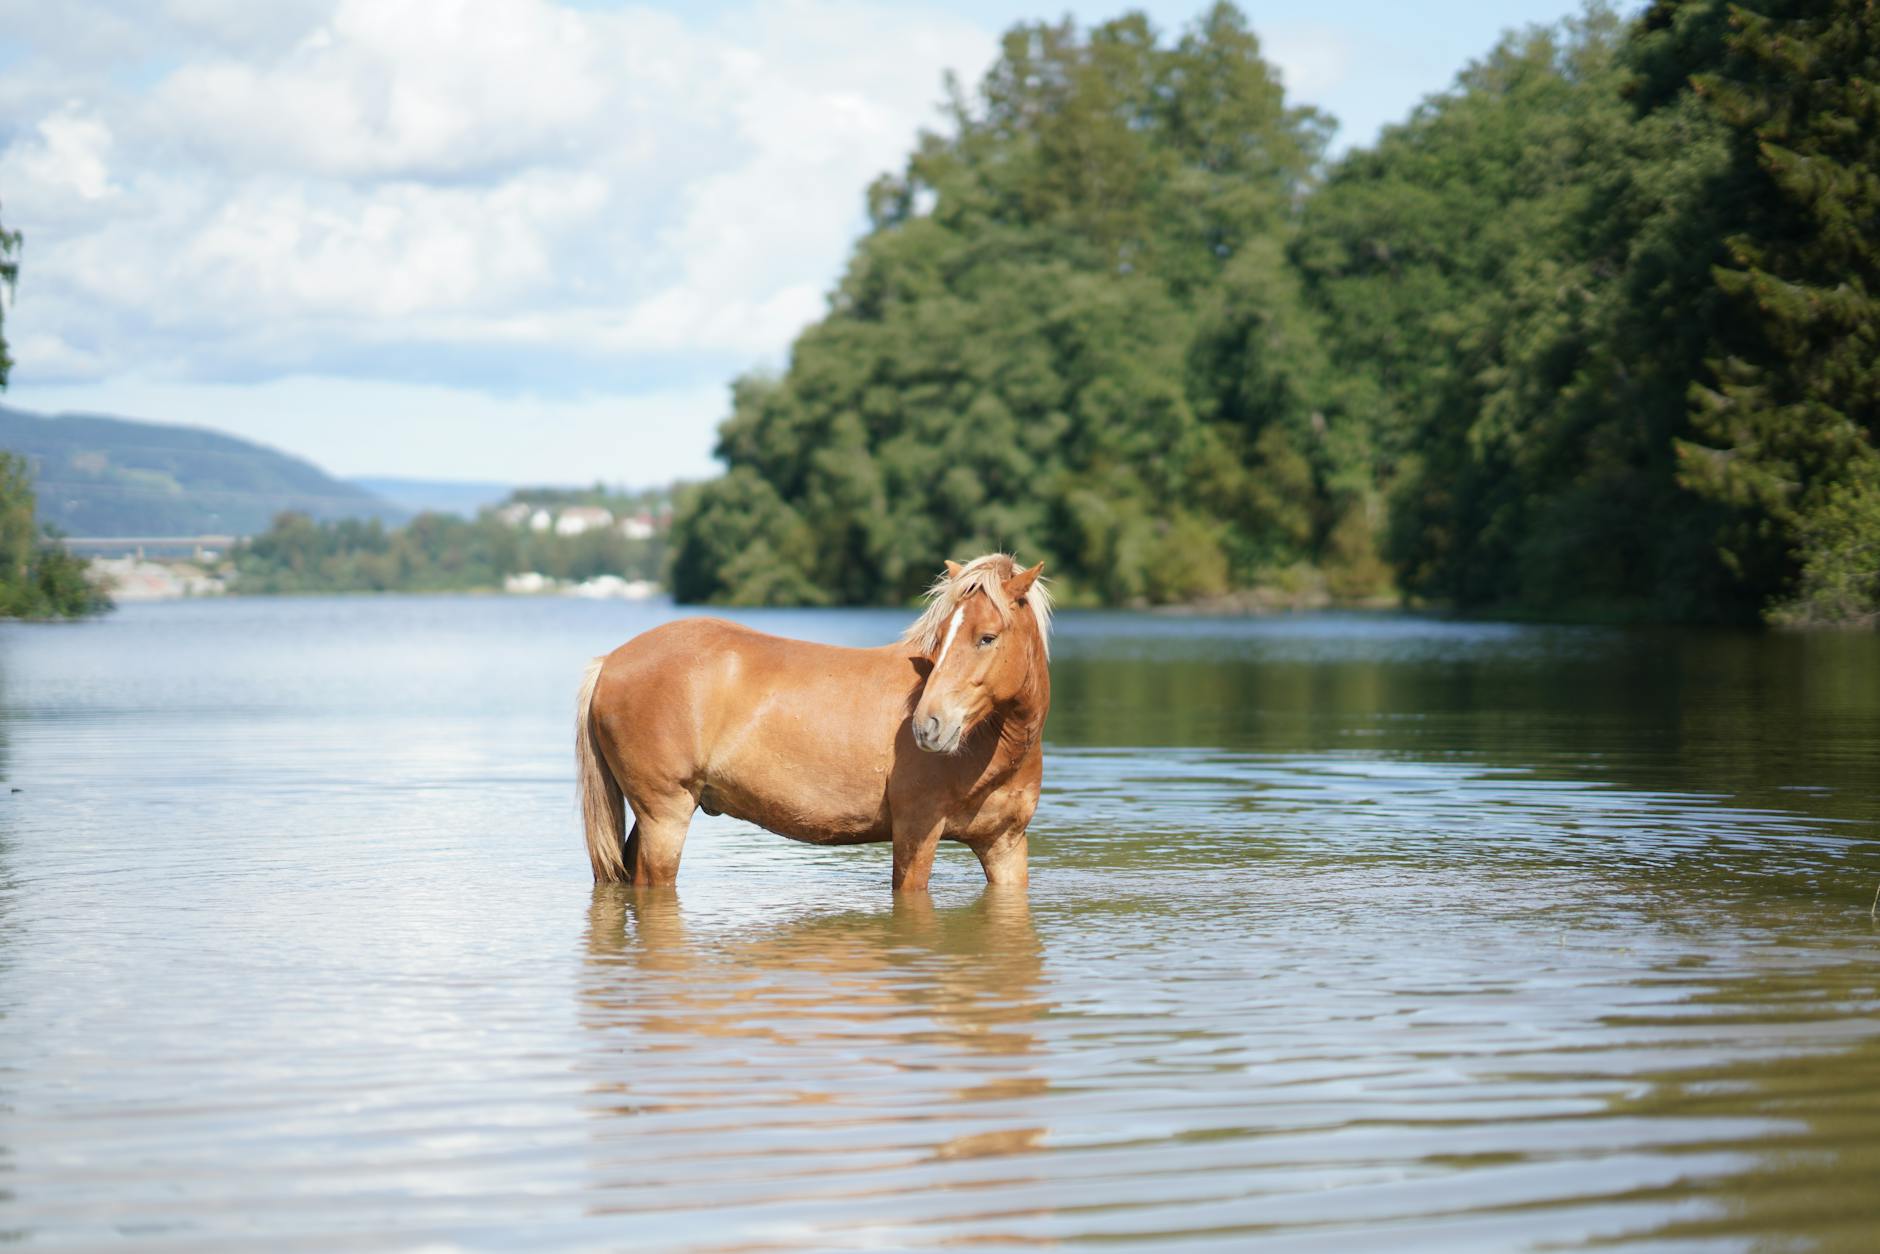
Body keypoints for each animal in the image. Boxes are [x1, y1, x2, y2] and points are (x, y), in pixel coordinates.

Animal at [575, 554, 1051, 892]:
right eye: (942, 635)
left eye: (987, 637)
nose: (927, 726)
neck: (992, 748)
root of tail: (610, 662)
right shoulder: (916, 834)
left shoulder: (1005, 845)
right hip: (665, 815)